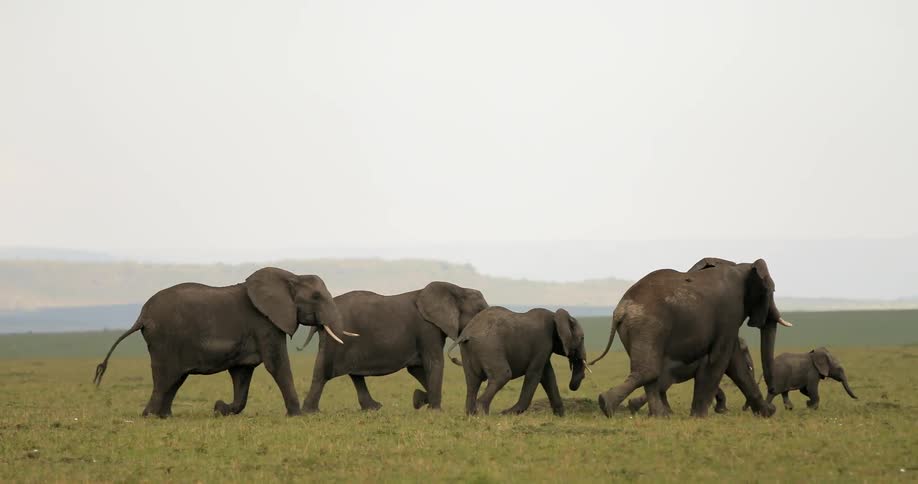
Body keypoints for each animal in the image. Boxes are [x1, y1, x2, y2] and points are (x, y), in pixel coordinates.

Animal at [93, 267, 353, 417]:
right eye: (316, 297)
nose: (217, 405)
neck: (291, 276)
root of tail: (142, 316)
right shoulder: (265, 323)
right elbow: (277, 365)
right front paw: (297, 415)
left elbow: (242, 373)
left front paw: (222, 409)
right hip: (165, 341)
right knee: (165, 378)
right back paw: (149, 416)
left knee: (174, 379)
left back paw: (164, 416)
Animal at [297, 282, 489, 412]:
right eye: (480, 311)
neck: (457, 288)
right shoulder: (427, 329)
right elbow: (434, 363)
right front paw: (435, 410)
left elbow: (417, 368)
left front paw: (418, 400)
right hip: (337, 338)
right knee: (323, 372)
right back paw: (310, 412)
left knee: (354, 373)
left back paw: (373, 408)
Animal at [447, 307, 587, 416]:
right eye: (582, 338)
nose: (572, 386)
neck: (555, 315)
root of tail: (466, 333)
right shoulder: (542, 342)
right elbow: (535, 374)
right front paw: (505, 414)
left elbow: (548, 376)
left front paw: (561, 417)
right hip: (489, 347)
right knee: (502, 375)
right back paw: (482, 413)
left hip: (469, 350)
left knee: (472, 381)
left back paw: (471, 415)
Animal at [590, 257, 794, 418]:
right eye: (773, 290)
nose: (773, 391)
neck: (742, 266)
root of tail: (620, 309)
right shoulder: (730, 310)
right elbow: (721, 358)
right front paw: (699, 416)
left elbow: (733, 362)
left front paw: (767, 413)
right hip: (648, 326)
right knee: (649, 371)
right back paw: (608, 405)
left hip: (634, 329)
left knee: (650, 372)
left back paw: (657, 416)